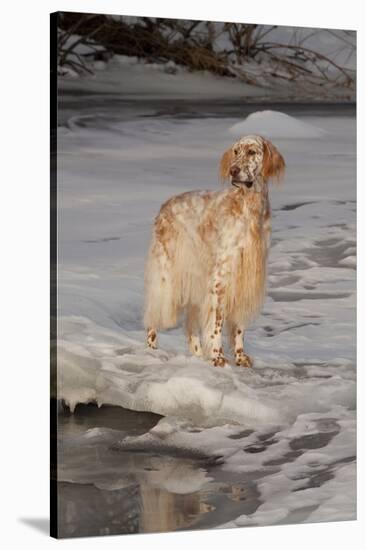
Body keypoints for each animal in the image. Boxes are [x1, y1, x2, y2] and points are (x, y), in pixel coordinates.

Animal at [144, 135, 284, 368]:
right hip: (167, 275)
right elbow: (217, 322)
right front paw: (218, 356)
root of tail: (165, 206)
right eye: (236, 151)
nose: (233, 170)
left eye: (252, 152)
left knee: (191, 325)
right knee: (153, 314)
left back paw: (198, 355)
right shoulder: (221, 278)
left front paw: (240, 356)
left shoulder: (244, 278)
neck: (249, 206)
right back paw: (151, 349)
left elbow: (238, 327)